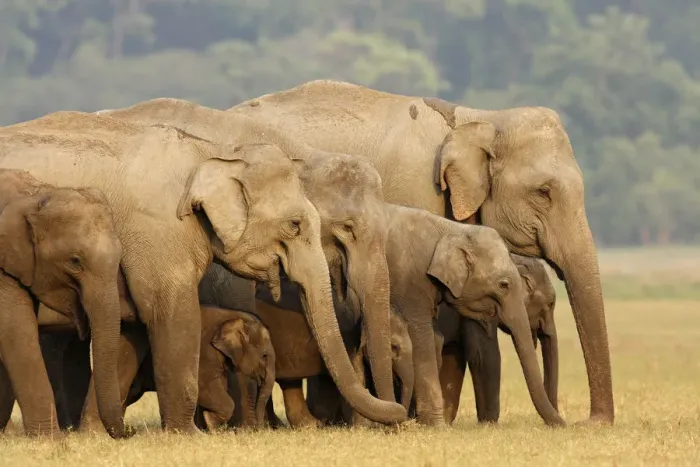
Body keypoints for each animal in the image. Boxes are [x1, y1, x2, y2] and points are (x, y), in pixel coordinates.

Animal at [438, 254, 558, 423]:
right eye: (550, 304)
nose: (564, 423)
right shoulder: (479, 305)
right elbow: (483, 355)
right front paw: (489, 423)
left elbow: (454, 355)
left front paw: (446, 421)